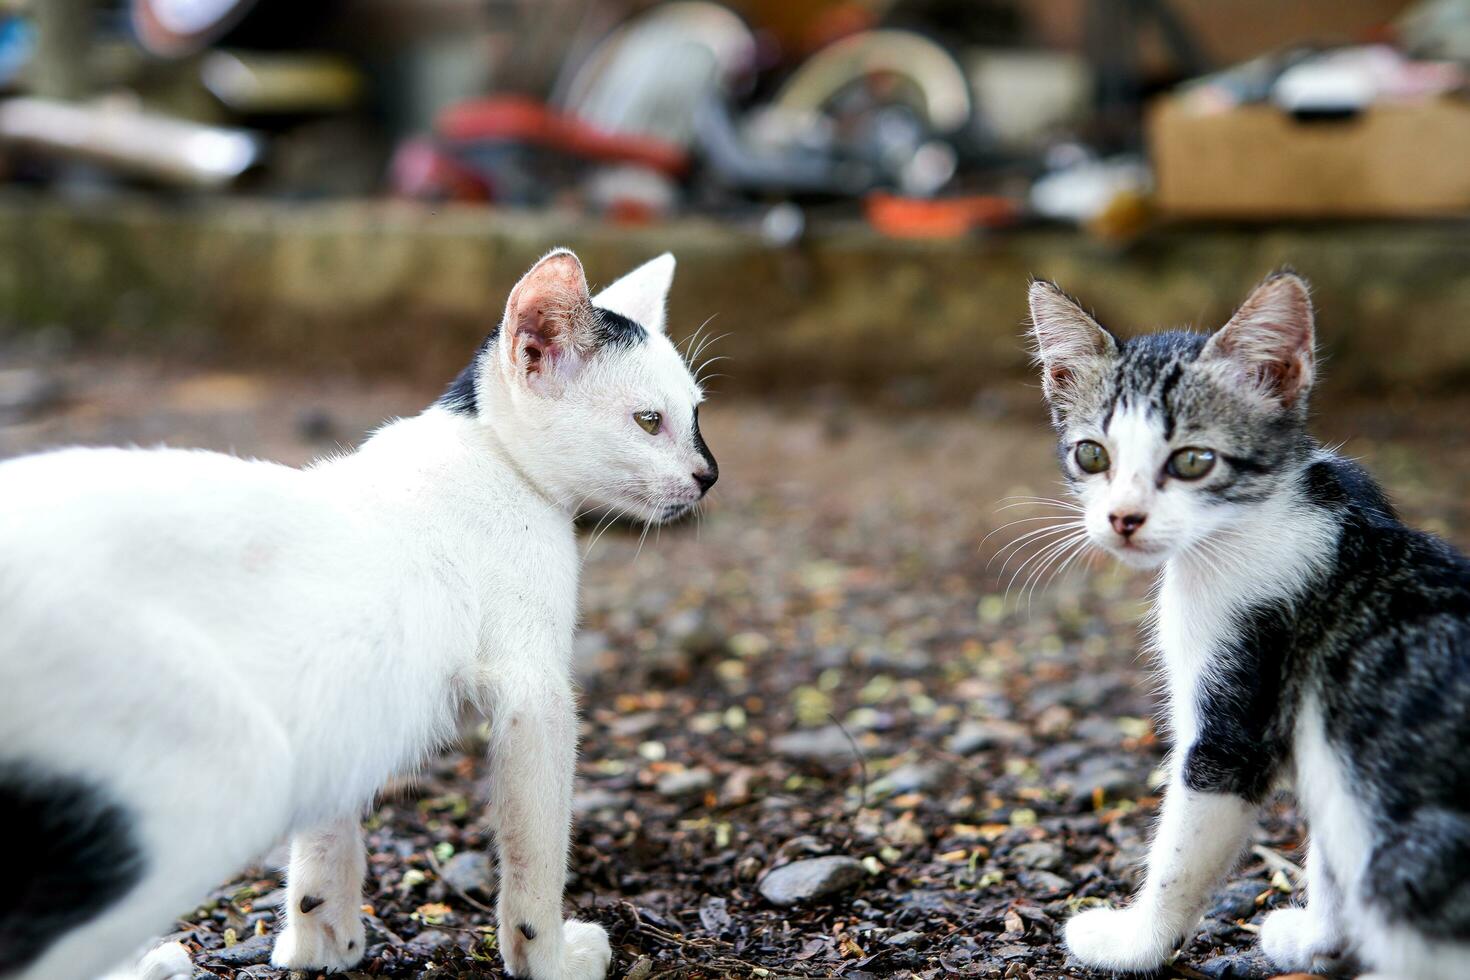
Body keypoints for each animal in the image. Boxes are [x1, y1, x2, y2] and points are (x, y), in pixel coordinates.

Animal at [0, 246, 714, 980]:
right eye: (649, 421)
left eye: (694, 414)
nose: (707, 475)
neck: (492, 454)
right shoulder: (535, 695)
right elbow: (535, 859)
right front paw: (551, 960)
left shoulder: (340, 703)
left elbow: (324, 843)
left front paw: (323, 941)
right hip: (226, 765)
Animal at [1029, 274, 1464, 980]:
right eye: (1091, 454)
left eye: (1192, 461)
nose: (1123, 518)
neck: (1260, 518)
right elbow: (1332, 848)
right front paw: (1319, 939)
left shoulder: (1239, 710)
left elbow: (1185, 851)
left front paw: (1136, 942)